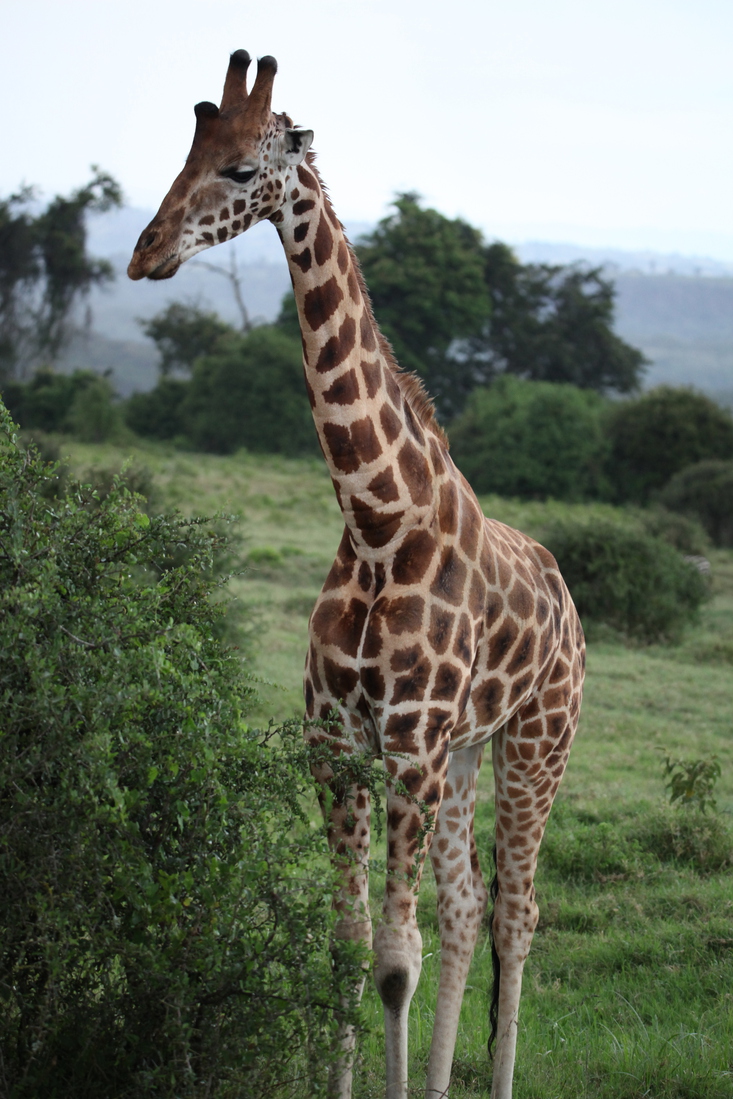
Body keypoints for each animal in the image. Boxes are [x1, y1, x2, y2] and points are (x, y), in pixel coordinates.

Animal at [126, 51, 584, 1099]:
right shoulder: (338, 747)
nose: (145, 251)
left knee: (515, 914)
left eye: (241, 168)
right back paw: (445, 1080)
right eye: (183, 153)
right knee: (465, 908)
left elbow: (391, 959)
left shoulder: (407, 750)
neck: (377, 522)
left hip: (535, 744)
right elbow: (348, 947)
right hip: (466, 753)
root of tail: (570, 602)